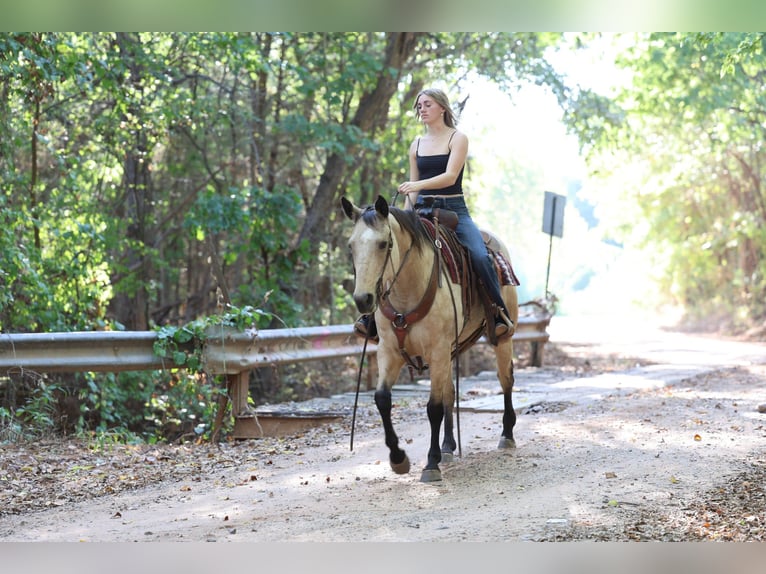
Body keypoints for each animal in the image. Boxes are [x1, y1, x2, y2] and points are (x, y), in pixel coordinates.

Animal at [341, 195, 519, 482]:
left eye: (383, 243)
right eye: (351, 246)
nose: (363, 299)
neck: (407, 290)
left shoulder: (437, 350)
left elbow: (433, 408)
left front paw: (431, 464)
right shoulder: (390, 352)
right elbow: (382, 399)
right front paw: (398, 459)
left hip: (501, 339)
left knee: (505, 380)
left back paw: (506, 434)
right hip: (450, 351)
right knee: (450, 392)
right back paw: (448, 447)